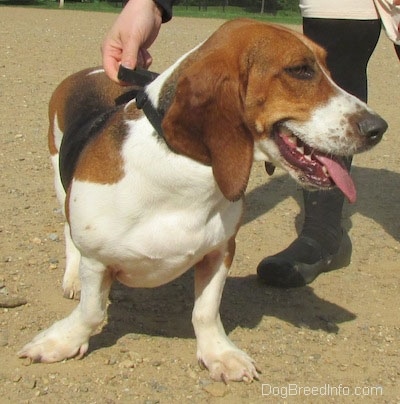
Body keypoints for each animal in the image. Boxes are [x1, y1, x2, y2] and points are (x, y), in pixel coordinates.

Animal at [19, 19, 388, 386]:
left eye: (327, 67)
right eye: (300, 70)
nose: (379, 128)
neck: (181, 173)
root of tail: (92, 71)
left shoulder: (220, 250)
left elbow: (206, 312)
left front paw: (219, 354)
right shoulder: (97, 259)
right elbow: (92, 310)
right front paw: (61, 341)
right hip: (59, 181)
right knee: (68, 234)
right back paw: (71, 279)